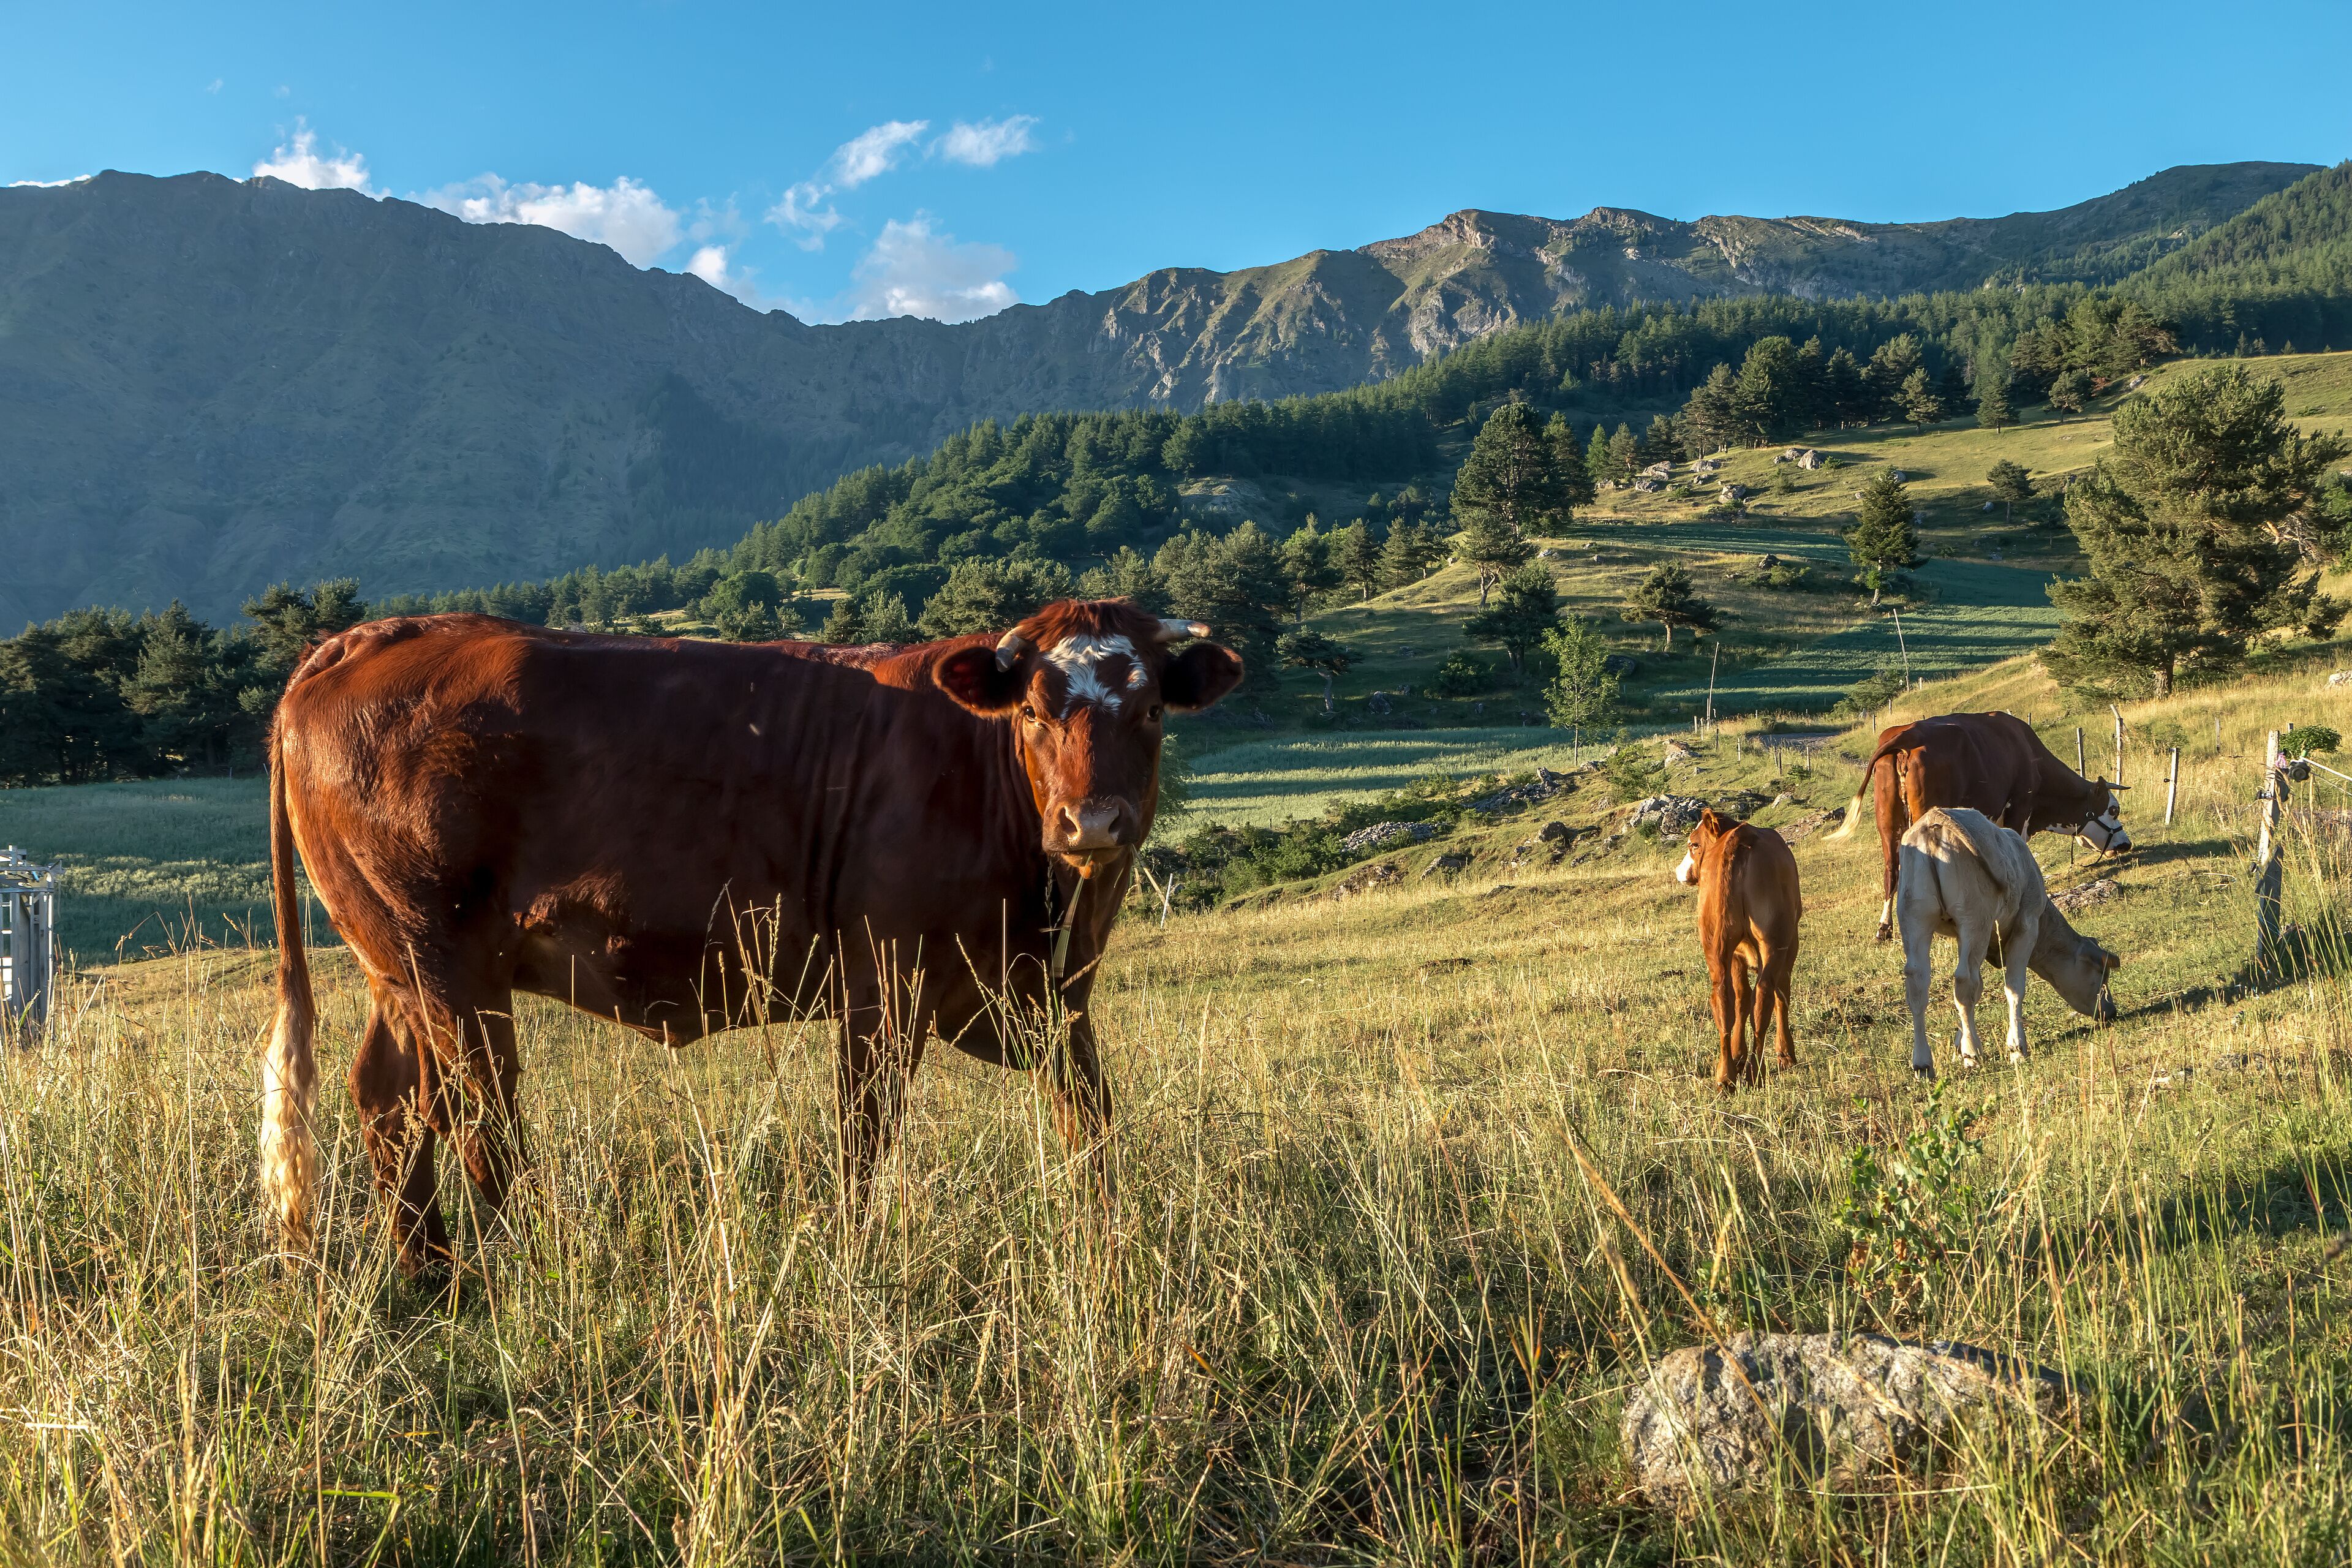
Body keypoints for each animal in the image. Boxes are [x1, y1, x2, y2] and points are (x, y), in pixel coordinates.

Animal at [257, 600, 1243, 1274]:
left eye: (1152, 711)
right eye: (1034, 712)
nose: (1093, 821)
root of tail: (371, 636)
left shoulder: (1034, 996)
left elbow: (1091, 1115)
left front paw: (1105, 1243)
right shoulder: (885, 977)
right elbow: (865, 1130)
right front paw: (856, 1259)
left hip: (399, 964)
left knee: (388, 1098)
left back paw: (430, 1274)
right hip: (446, 961)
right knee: (477, 1111)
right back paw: (528, 1268)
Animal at [1673, 809, 1802, 1090]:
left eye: (1693, 844)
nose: (1679, 871)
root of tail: (1738, 838)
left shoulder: (1735, 955)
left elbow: (1741, 999)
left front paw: (1737, 1054)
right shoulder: (1790, 944)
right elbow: (1781, 995)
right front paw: (1786, 1055)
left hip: (1716, 943)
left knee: (1723, 998)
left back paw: (1726, 1076)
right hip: (1774, 941)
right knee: (1764, 997)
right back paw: (1755, 1072)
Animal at [1829, 711, 2128, 941]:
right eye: (2114, 810)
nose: (2126, 844)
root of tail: (1909, 734)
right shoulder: (2020, 806)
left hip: (1888, 823)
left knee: (1892, 870)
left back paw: (1885, 928)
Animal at [1896, 807, 2121, 1078]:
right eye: (2102, 974)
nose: (2111, 1011)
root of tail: (1933, 820)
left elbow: (1979, 989)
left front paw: (1961, 1041)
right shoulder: (2027, 925)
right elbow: (2014, 987)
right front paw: (2015, 1048)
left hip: (1914, 917)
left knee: (1918, 983)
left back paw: (1923, 1064)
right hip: (1975, 918)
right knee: (1964, 981)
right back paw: (1973, 1054)